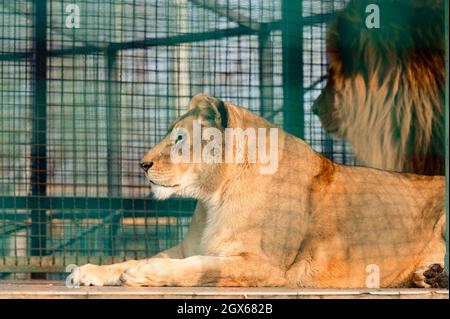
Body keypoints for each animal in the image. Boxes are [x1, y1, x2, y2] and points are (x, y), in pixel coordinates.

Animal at [71, 93, 446, 290]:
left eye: (179, 138)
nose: (142, 164)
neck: (213, 199)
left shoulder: (267, 266)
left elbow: (200, 266)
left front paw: (145, 273)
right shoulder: (187, 246)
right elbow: (138, 256)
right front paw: (88, 271)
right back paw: (428, 275)